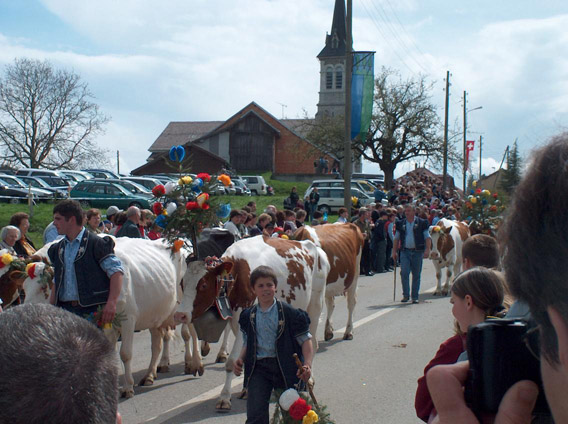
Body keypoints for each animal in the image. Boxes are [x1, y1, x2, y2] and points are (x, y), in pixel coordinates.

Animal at [175, 234, 330, 410]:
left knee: (313, 343)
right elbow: (247, 356)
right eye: (182, 283)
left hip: (315, 304)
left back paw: (308, 380)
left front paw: (224, 397)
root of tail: (313, 246)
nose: (180, 315)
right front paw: (246, 390)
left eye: (203, 285)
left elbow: (231, 362)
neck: (236, 275)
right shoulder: (240, 323)